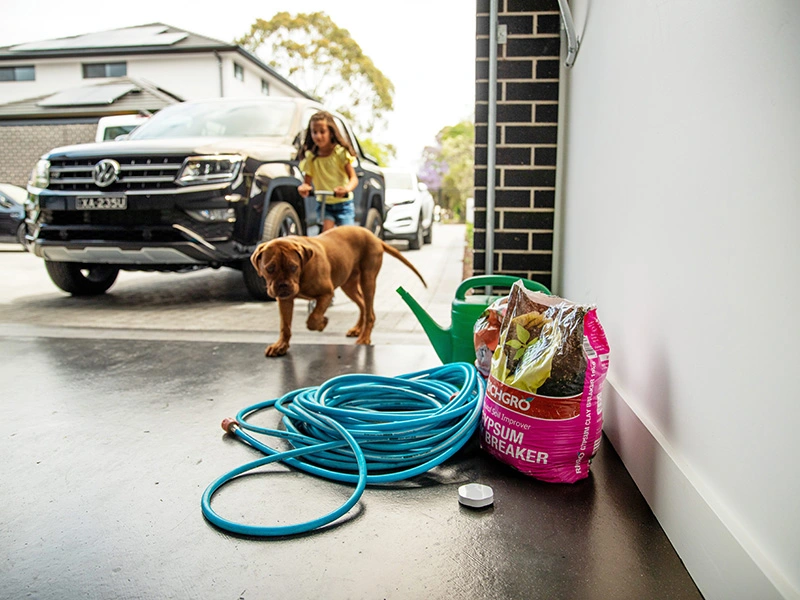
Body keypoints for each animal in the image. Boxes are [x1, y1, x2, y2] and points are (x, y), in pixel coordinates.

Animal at [250, 225, 428, 356]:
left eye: (293, 267)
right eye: (269, 268)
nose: (283, 285)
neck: (303, 271)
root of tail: (376, 238)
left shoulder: (327, 294)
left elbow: (313, 318)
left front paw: (322, 323)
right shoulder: (285, 300)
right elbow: (285, 325)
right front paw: (281, 345)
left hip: (368, 280)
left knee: (369, 312)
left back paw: (364, 337)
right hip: (348, 284)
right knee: (363, 305)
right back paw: (357, 329)